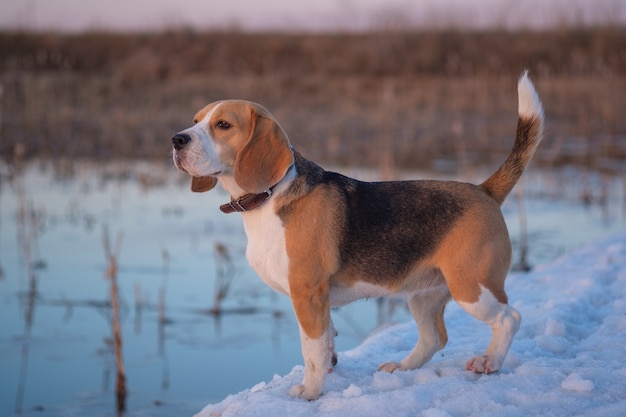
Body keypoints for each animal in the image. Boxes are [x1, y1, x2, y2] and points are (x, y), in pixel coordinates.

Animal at [172, 72, 540, 400]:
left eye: (223, 125)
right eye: (195, 120)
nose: (176, 140)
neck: (270, 194)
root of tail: (484, 190)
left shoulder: (307, 294)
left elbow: (312, 349)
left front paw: (310, 391)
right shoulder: (319, 300)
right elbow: (327, 343)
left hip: (472, 288)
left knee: (511, 317)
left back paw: (490, 360)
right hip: (424, 294)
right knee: (435, 337)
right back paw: (403, 368)